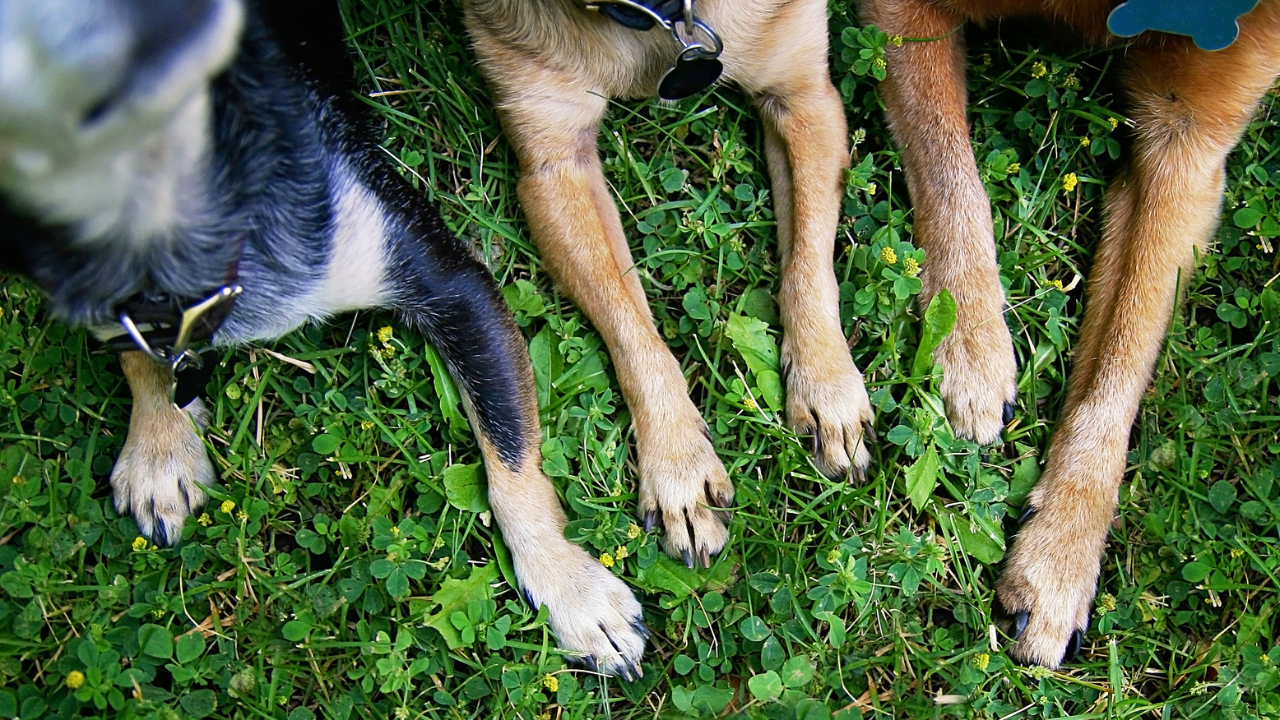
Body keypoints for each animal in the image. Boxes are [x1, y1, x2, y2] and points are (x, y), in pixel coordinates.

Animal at [463, 1, 880, 566]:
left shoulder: (804, 96)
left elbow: (807, 265)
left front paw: (826, 384)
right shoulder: (554, 160)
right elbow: (635, 334)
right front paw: (678, 467)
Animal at [855, 0, 1280, 661]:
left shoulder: (1188, 143)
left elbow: (1120, 363)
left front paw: (1061, 553)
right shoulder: (904, 17)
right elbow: (948, 168)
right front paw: (970, 341)